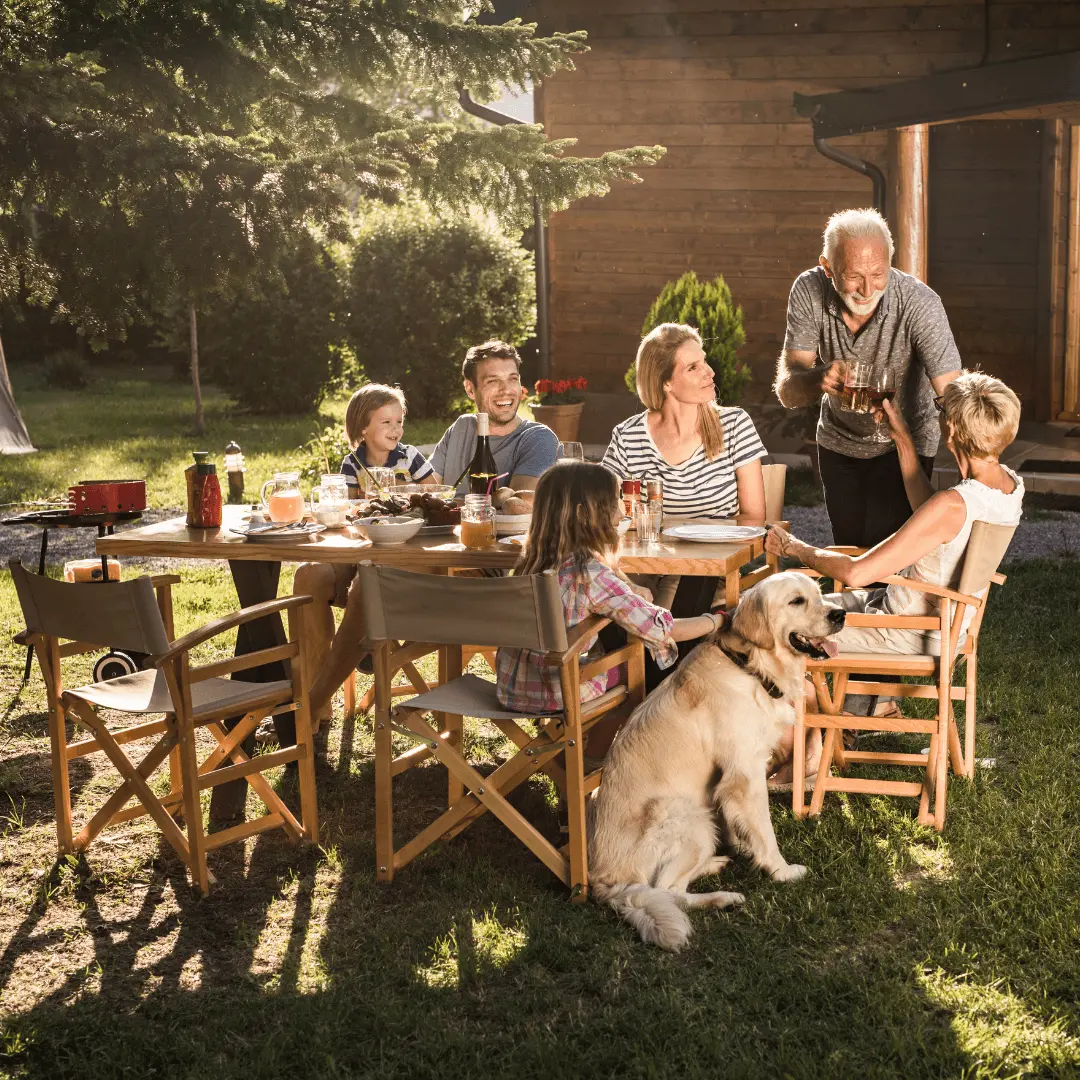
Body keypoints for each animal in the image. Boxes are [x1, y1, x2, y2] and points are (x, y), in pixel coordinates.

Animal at [591, 570, 842, 950]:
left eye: (819, 594)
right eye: (797, 601)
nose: (841, 614)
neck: (750, 666)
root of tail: (604, 881)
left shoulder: (733, 777)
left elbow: (740, 822)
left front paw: (742, 845)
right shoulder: (746, 773)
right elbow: (765, 830)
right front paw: (781, 871)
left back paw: (714, 865)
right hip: (689, 817)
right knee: (667, 891)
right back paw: (723, 897)